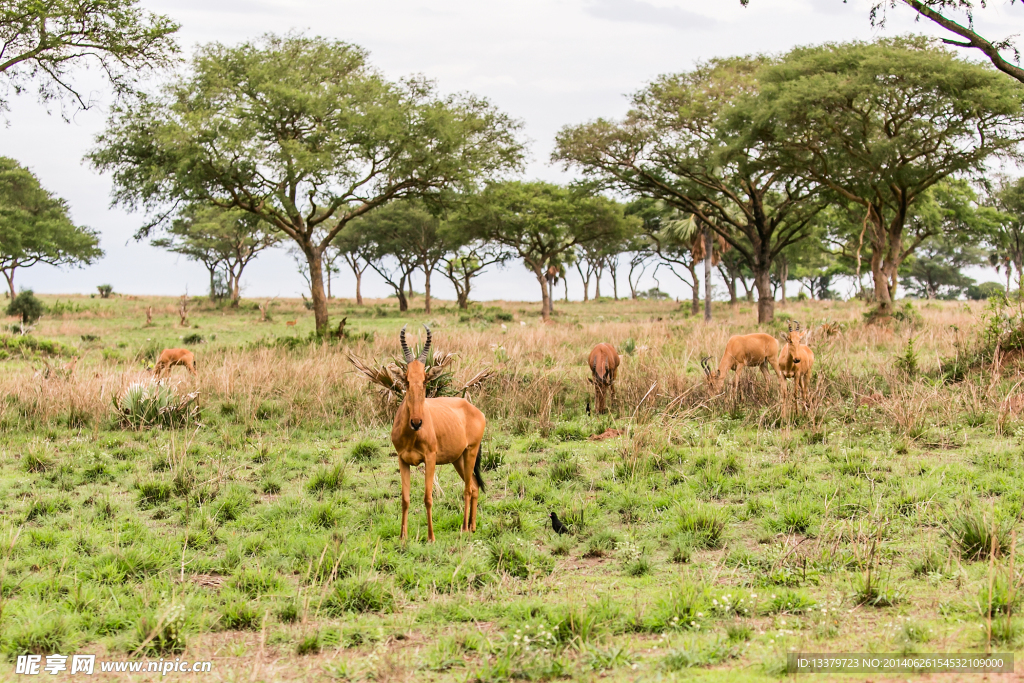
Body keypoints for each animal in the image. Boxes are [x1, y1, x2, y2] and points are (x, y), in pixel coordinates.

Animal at [391, 325, 487, 544]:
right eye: (406, 380)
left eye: (425, 379)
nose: (416, 422)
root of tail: (474, 409)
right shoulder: (402, 460)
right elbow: (405, 498)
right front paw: (402, 537)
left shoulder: (430, 458)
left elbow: (428, 497)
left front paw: (431, 537)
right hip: (458, 458)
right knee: (474, 486)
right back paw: (473, 527)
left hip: (470, 452)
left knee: (467, 489)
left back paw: (464, 528)